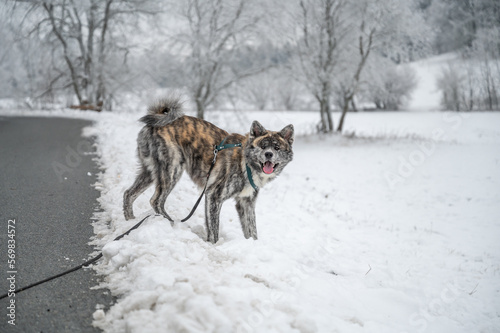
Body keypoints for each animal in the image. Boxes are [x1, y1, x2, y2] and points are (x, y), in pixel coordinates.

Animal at [122, 97, 292, 243]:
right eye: (263, 146)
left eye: (277, 147)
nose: (268, 154)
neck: (246, 162)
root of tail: (155, 124)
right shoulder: (214, 195)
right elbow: (214, 228)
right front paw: (214, 245)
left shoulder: (246, 203)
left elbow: (252, 230)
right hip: (172, 170)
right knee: (156, 201)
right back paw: (171, 224)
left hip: (151, 172)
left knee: (129, 194)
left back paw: (130, 222)